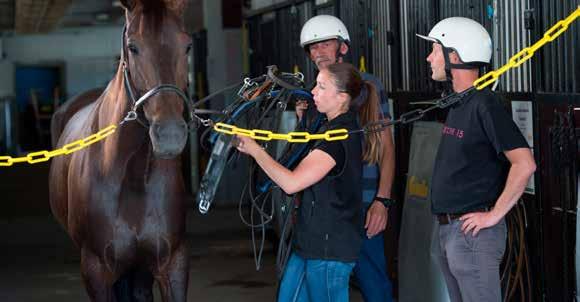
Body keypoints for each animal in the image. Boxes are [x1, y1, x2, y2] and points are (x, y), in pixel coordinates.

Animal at [49, 1, 193, 300]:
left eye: (187, 45)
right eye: (133, 46)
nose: (170, 135)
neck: (132, 176)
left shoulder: (173, 262)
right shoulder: (95, 270)